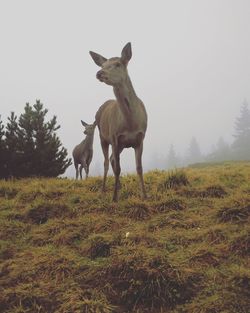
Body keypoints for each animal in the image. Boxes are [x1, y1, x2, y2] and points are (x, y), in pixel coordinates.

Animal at [90, 42, 147, 201]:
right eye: (103, 65)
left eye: (117, 64)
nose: (99, 73)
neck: (130, 123)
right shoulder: (115, 137)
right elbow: (118, 169)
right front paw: (115, 198)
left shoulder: (140, 138)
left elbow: (139, 167)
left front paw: (145, 195)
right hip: (102, 137)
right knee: (107, 162)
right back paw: (103, 190)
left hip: (120, 145)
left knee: (112, 160)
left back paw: (119, 186)